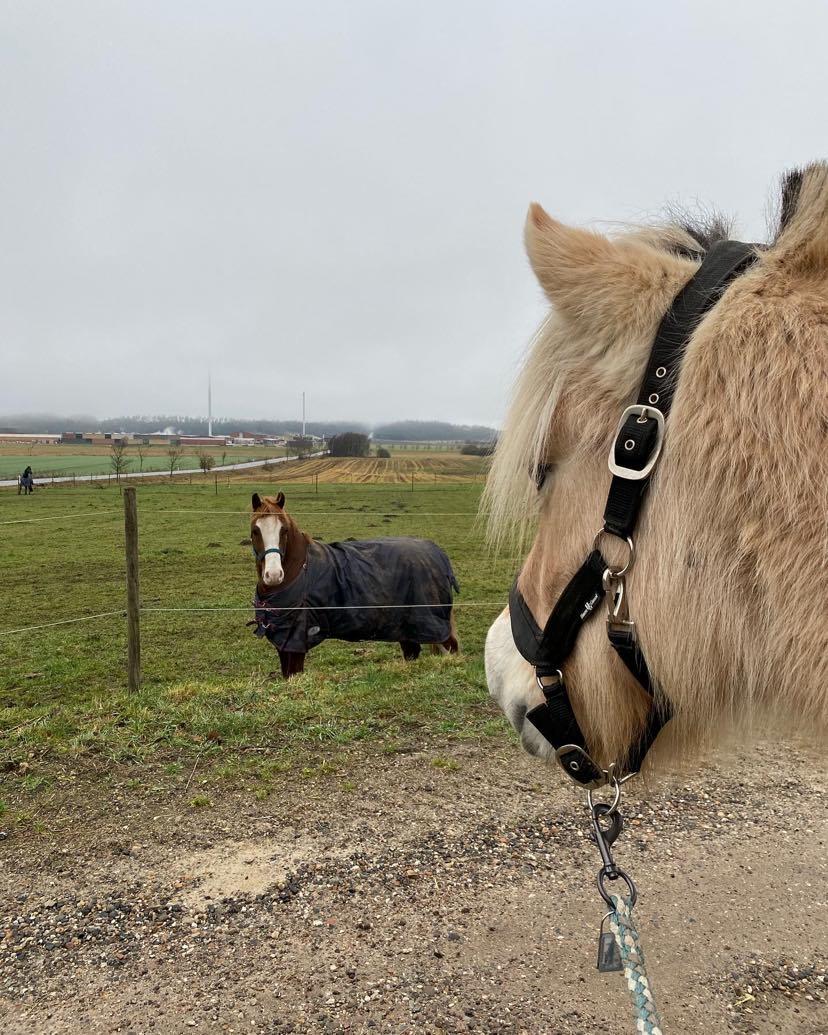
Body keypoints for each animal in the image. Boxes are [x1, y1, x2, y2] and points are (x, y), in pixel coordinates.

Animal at [250, 488, 459, 674]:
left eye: (284, 530)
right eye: (255, 531)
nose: (274, 574)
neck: (300, 571)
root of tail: (438, 554)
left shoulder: (296, 642)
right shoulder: (284, 643)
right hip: (407, 629)